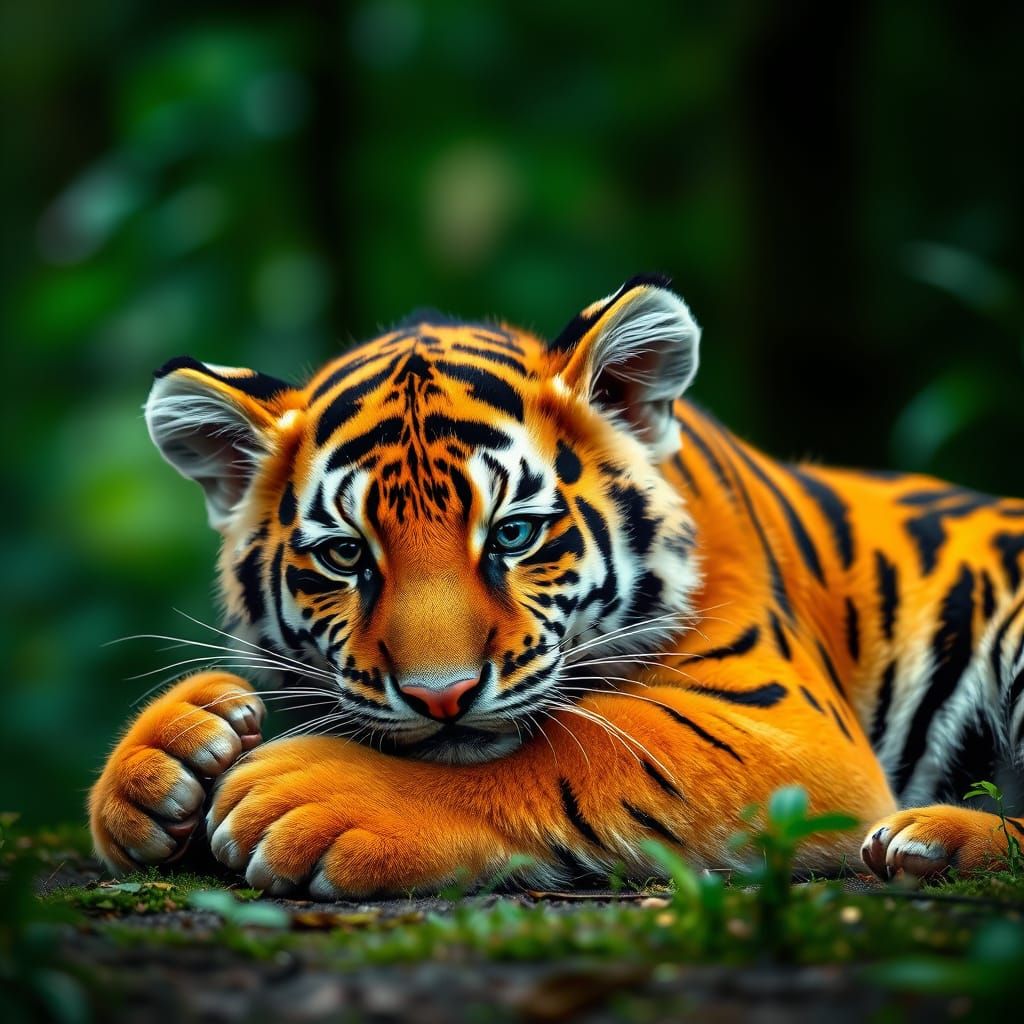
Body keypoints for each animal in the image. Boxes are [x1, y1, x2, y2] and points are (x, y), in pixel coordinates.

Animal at [88, 275, 1024, 897]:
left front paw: (308, 796)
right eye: (348, 556)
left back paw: (928, 840)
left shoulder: (791, 727)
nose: (441, 696)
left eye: (512, 535)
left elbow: (592, 744)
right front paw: (164, 760)